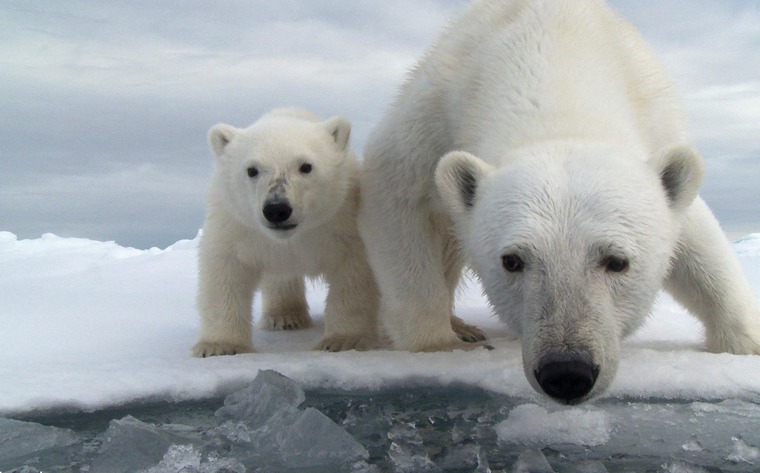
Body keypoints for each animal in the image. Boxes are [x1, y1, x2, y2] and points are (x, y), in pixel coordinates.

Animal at [193, 109, 378, 356]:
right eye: (252, 170)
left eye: (306, 166)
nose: (277, 209)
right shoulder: (237, 227)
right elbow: (225, 272)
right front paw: (219, 346)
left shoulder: (341, 222)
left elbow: (353, 273)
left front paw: (344, 340)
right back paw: (285, 317)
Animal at [360, 0, 760, 402]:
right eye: (512, 260)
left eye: (618, 261)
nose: (567, 372)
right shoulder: (436, 111)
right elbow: (397, 194)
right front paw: (440, 345)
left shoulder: (655, 122)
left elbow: (699, 242)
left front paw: (746, 344)